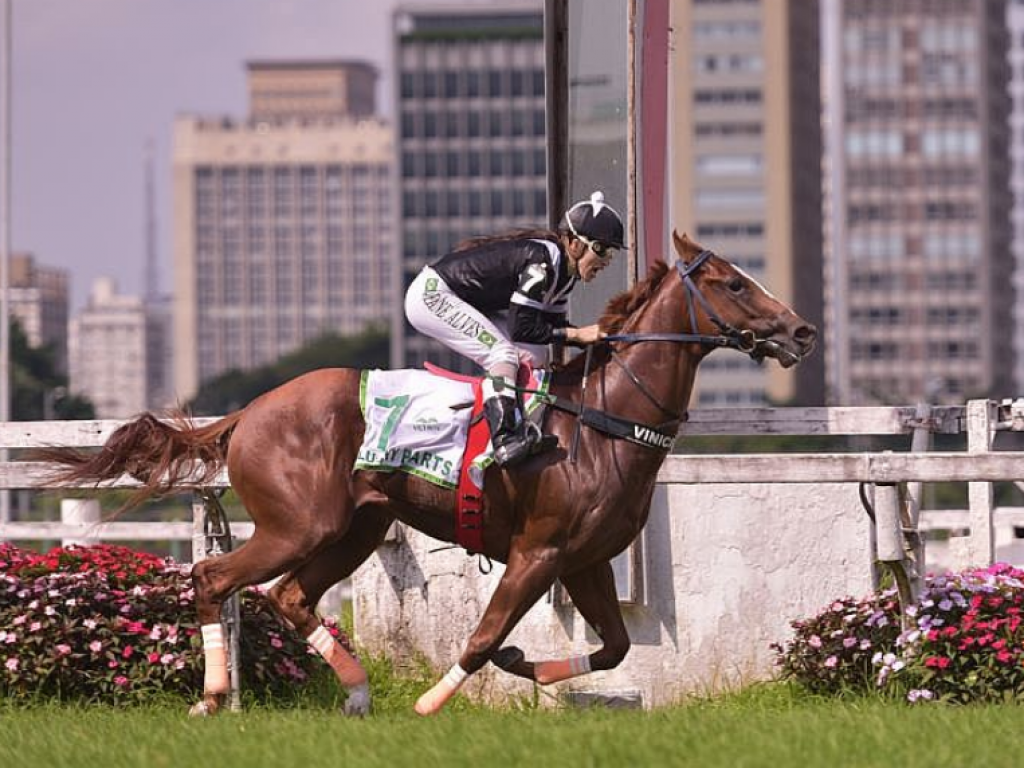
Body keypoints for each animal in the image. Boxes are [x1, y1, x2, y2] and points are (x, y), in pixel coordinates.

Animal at [37, 231, 815, 720]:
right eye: (733, 282)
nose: (802, 331)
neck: (604, 420)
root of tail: (249, 411)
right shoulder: (538, 553)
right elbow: (480, 636)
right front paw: (433, 701)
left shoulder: (586, 559)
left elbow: (614, 647)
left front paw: (525, 667)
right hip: (300, 524)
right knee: (214, 578)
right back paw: (213, 695)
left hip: (356, 528)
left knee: (288, 596)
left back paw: (354, 692)